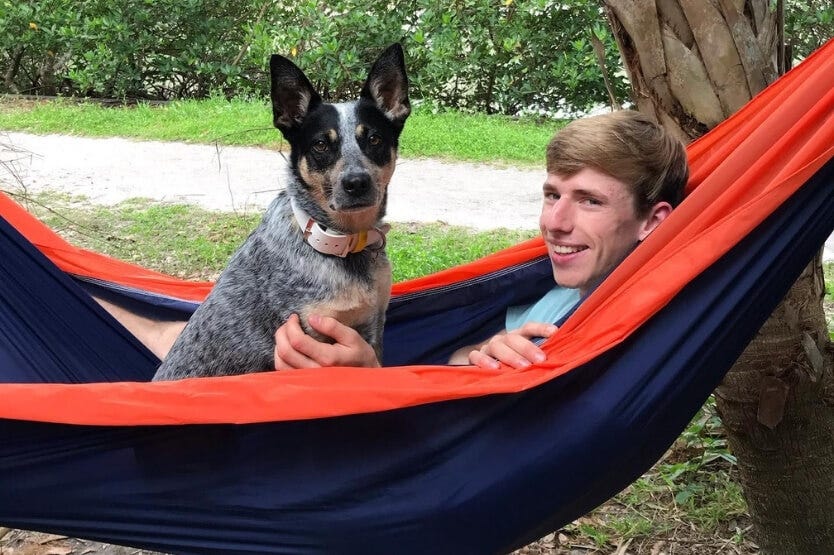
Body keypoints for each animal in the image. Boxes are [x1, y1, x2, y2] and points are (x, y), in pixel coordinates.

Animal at [153, 44, 410, 382]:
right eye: (320, 145)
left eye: (374, 139)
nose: (356, 182)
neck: (339, 242)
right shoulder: (308, 334)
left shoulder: (373, 326)